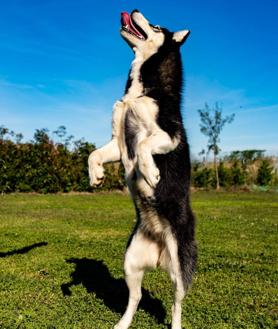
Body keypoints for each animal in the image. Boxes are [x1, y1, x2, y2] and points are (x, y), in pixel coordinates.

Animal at [88, 9, 197, 326]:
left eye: (157, 26)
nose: (133, 9)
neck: (141, 92)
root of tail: (160, 249)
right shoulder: (116, 142)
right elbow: (94, 154)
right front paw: (96, 175)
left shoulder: (168, 135)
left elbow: (145, 145)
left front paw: (150, 172)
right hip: (130, 263)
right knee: (134, 298)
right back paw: (123, 323)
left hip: (180, 269)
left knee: (176, 304)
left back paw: (176, 325)